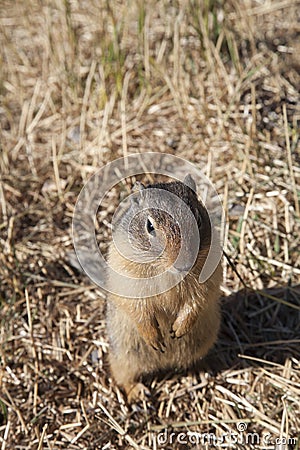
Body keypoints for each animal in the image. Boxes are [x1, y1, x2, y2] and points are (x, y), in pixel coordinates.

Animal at [105, 174, 220, 402]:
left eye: (198, 219)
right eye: (150, 226)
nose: (184, 264)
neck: (168, 272)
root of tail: (165, 365)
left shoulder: (208, 280)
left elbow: (197, 301)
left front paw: (177, 329)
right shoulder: (129, 283)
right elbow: (139, 309)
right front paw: (155, 338)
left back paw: (196, 374)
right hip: (123, 357)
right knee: (123, 377)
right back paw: (138, 394)